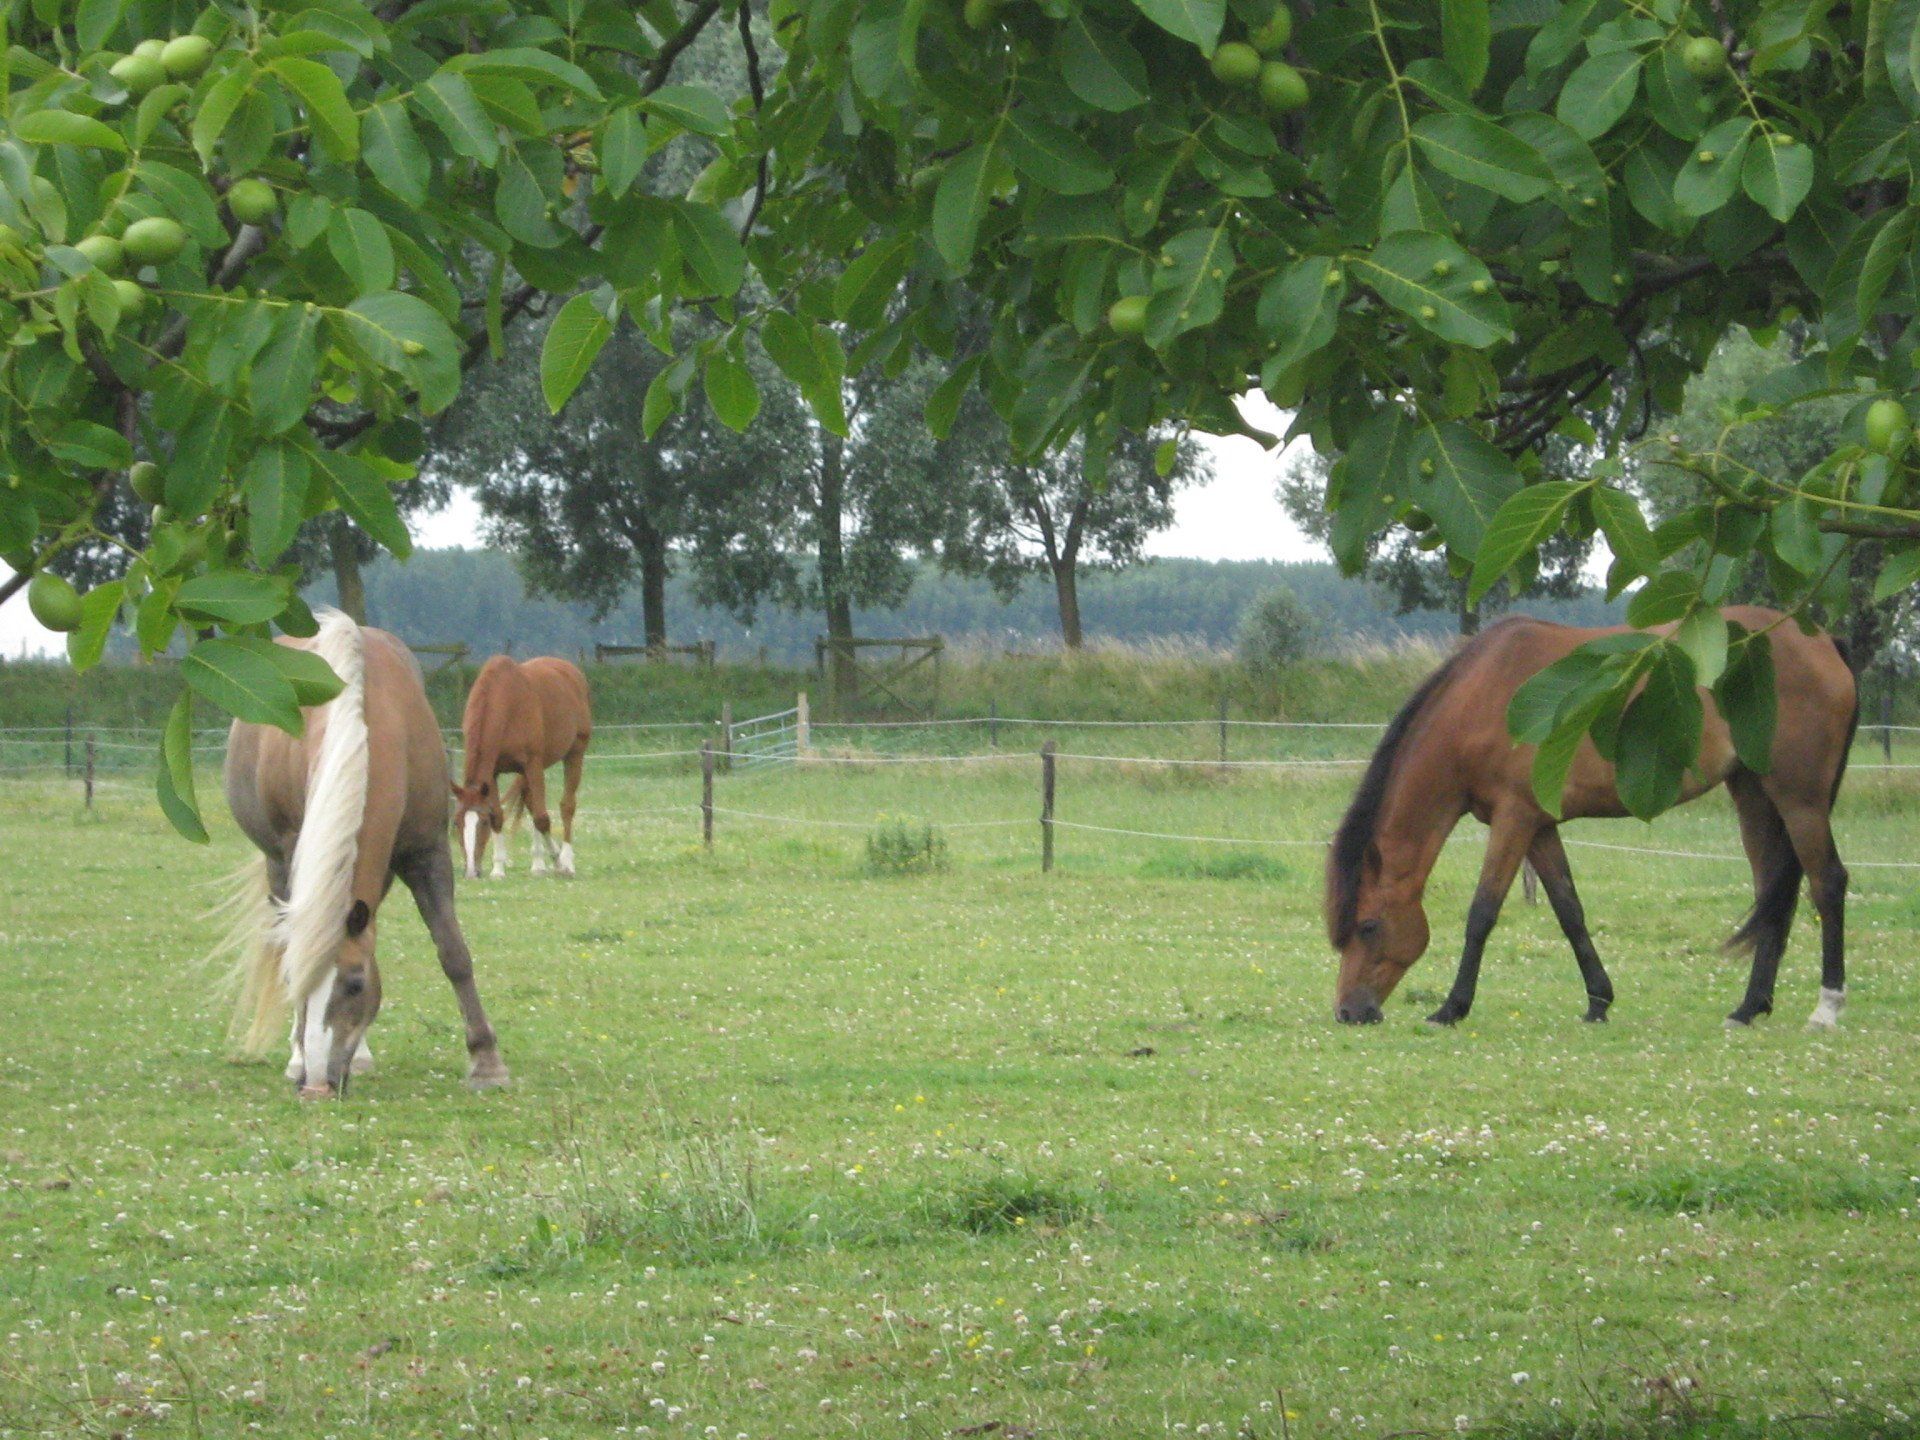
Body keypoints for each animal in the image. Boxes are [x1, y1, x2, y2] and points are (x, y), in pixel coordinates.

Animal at [218, 611, 510, 1098]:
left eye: (355, 985)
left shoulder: (426, 853)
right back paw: (300, 1056)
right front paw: (300, 1055)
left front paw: (486, 1061)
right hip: (277, 865)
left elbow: (453, 951)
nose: (317, 1086)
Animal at [451, 656, 592, 880]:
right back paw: (538, 864)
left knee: (566, 807)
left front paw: (560, 863)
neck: (505, 703)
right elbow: (500, 816)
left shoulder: (532, 765)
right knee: (531, 803)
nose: (472, 872)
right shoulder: (493, 773)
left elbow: (542, 819)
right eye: (456, 823)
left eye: (482, 823)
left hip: (574, 754)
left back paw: (567, 861)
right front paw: (498, 868)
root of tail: (570, 670)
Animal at [1326, 607, 1859, 1031]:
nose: (1349, 1012)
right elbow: (1570, 911)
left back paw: (1826, 1008)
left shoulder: (1513, 820)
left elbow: (1482, 914)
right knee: (1773, 893)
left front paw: (1451, 1008)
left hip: (1800, 799)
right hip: (1753, 794)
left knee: (1827, 883)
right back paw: (1748, 1008)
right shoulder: (1538, 825)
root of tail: (1822, 641)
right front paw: (1599, 1001)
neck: (1480, 700)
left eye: (1368, 927)